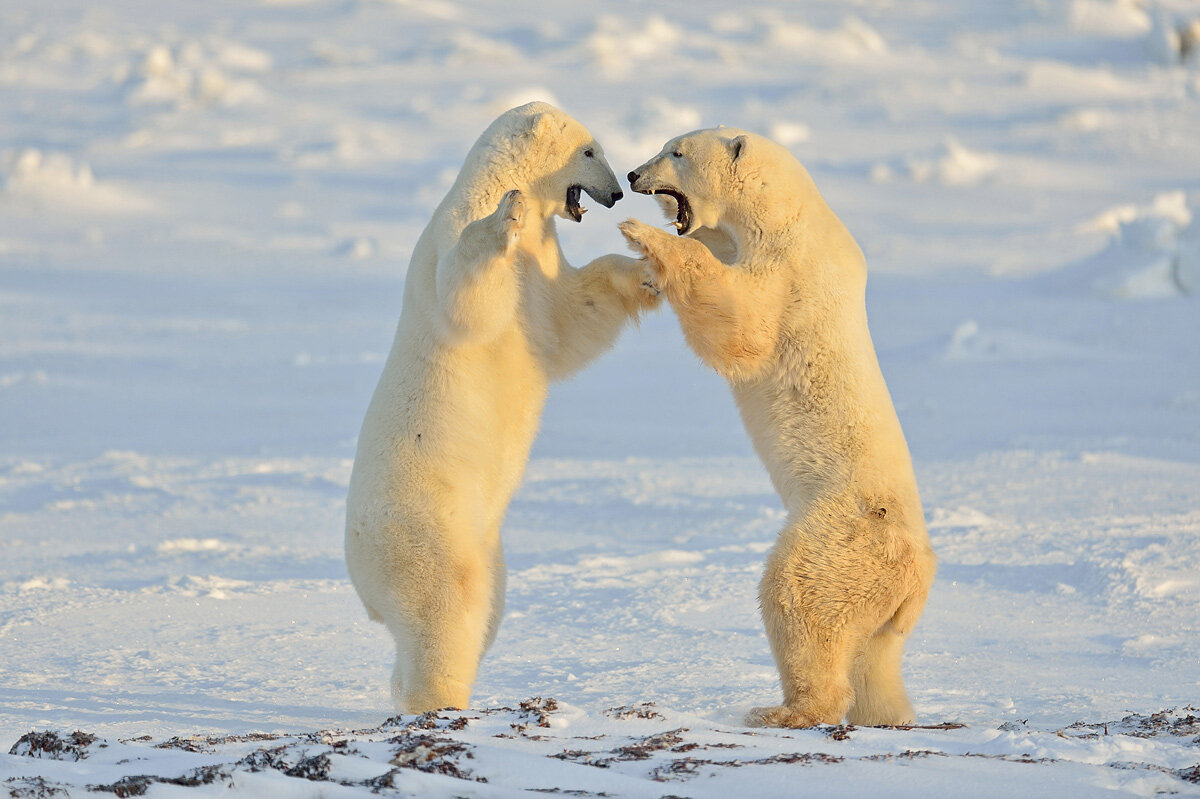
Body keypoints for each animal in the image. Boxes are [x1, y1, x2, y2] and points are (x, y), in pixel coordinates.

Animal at [343, 102, 662, 710]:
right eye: (590, 150)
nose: (616, 193)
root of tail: (362, 581)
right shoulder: (451, 235)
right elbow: (467, 299)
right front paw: (505, 216)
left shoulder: (546, 267)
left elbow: (569, 320)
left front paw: (650, 270)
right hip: (429, 528)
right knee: (447, 607)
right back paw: (440, 700)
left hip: (487, 544)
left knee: (483, 613)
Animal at [619, 127, 936, 724]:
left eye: (676, 152)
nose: (632, 175)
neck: (788, 212)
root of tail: (919, 575)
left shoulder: (791, 272)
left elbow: (743, 323)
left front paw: (641, 236)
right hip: (883, 604)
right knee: (876, 660)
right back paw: (886, 716)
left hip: (842, 536)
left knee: (801, 597)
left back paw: (782, 711)